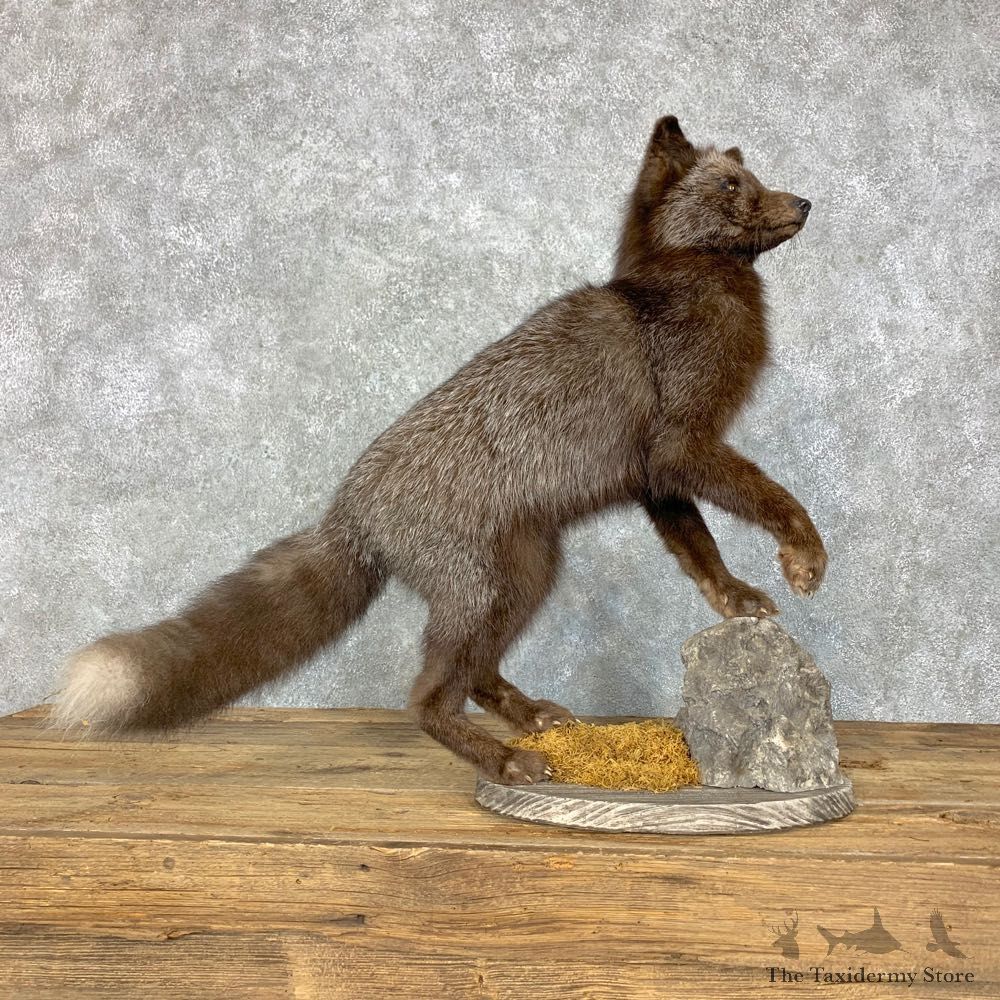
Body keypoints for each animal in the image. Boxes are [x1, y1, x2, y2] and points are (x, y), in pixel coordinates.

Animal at [52, 116, 827, 785]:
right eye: (731, 185)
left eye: (753, 177)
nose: (806, 201)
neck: (676, 295)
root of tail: (347, 514)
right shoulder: (680, 445)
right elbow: (770, 496)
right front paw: (805, 558)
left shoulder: (654, 477)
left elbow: (698, 546)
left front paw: (733, 598)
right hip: (484, 587)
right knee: (425, 699)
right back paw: (505, 759)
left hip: (525, 574)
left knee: (472, 675)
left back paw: (528, 717)